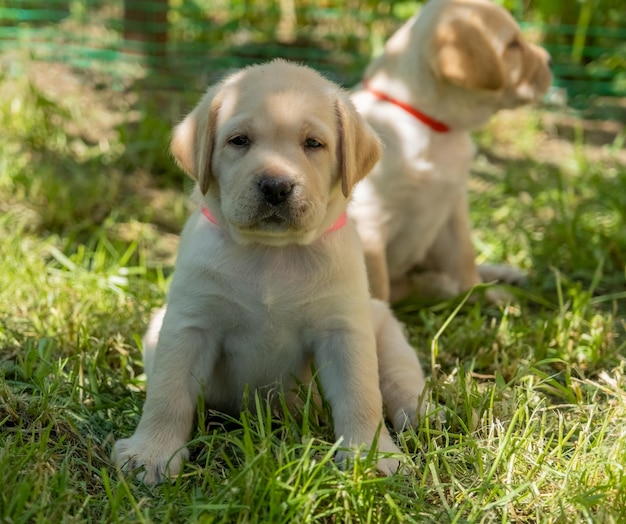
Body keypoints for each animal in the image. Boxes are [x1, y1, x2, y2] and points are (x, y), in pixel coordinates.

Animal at [111, 60, 424, 484]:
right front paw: (151, 453)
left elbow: (362, 395)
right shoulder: (188, 325)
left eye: (313, 144)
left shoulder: (343, 332)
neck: (272, 254)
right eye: (239, 141)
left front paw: (370, 455)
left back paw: (423, 413)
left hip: (383, 327)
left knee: (399, 379)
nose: (275, 187)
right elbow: (168, 393)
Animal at [348, 0, 548, 302]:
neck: (433, 128)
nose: (549, 60)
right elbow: (377, 285)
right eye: (513, 45)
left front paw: (479, 295)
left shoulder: (453, 206)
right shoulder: (369, 221)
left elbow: (464, 257)